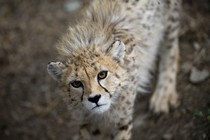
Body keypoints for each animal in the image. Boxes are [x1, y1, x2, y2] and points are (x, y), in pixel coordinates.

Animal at [47, 0, 180, 139]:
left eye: (102, 74)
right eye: (76, 83)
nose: (94, 99)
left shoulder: (123, 121)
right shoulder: (86, 123)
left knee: (171, 48)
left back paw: (163, 94)